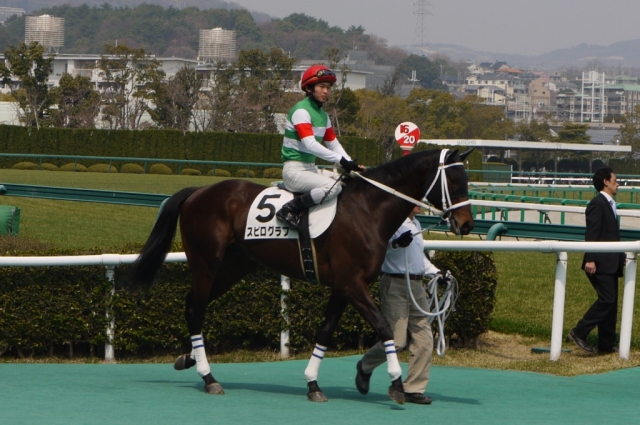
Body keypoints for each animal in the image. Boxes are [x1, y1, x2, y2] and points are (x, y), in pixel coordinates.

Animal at [130, 148, 474, 404]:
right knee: (196, 309)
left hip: (234, 266)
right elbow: (384, 327)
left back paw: (189, 359)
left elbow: (325, 332)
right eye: (454, 179)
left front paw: (313, 384)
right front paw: (397, 385)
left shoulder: (343, 287)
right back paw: (208, 376)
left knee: (192, 305)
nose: (467, 224)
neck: (367, 210)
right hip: (206, 263)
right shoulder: (352, 284)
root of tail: (198, 191)